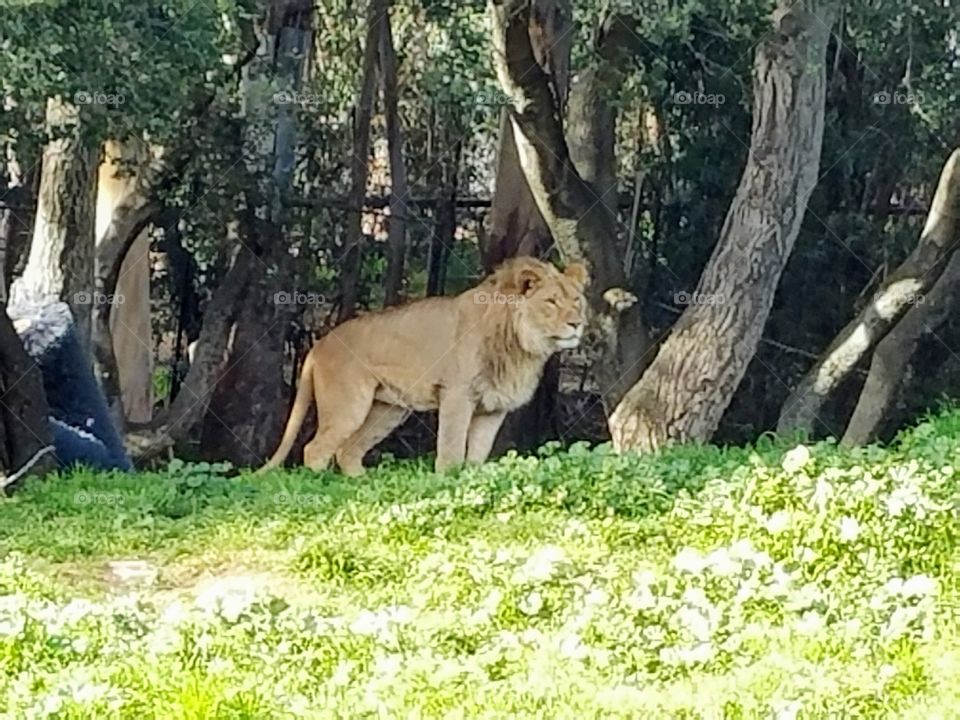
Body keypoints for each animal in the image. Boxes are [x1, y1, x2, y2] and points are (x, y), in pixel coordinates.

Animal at [257, 257, 588, 476]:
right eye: (551, 302)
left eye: (576, 300)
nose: (577, 323)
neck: (523, 346)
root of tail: (319, 345)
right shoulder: (457, 395)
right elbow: (451, 449)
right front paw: (447, 483)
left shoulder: (493, 409)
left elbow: (477, 455)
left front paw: (472, 481)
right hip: (349, 407)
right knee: (315, 449)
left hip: (387, 410)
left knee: (347, 451)